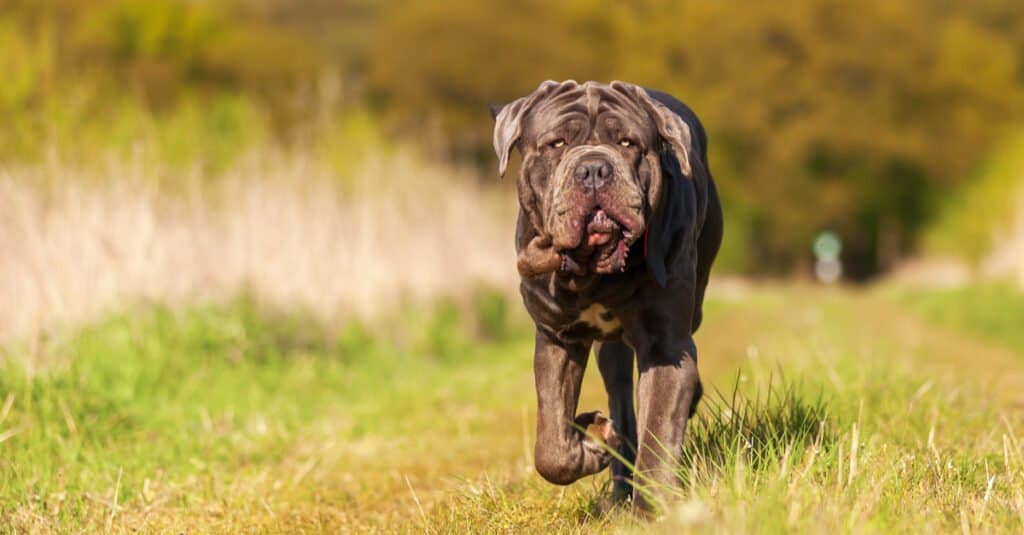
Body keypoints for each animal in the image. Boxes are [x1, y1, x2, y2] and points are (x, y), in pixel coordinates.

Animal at [491, 78, 724, 508]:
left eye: (628, 143)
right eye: (557, 143)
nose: (595, 168)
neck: (593, 273)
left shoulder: (666, 344)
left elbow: (659, 433)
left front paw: (650, 510)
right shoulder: (557, 337)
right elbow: (551, 443)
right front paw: (591, 445)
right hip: (608, 351)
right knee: (621, 400)